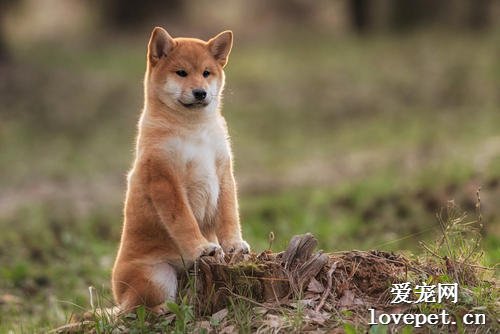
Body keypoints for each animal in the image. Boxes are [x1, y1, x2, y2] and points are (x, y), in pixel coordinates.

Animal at [111, 27, 248, 312]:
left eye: (206, 73)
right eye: (181, 73)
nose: (200, 92)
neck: (193, 129)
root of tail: (119, 295)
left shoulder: (224, 173)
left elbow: (229, 215)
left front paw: (233, 245)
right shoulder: (165, 180)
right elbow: (184, 221)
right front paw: (202, 249)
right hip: (158, 277)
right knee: (133, 310)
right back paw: (162, 310)